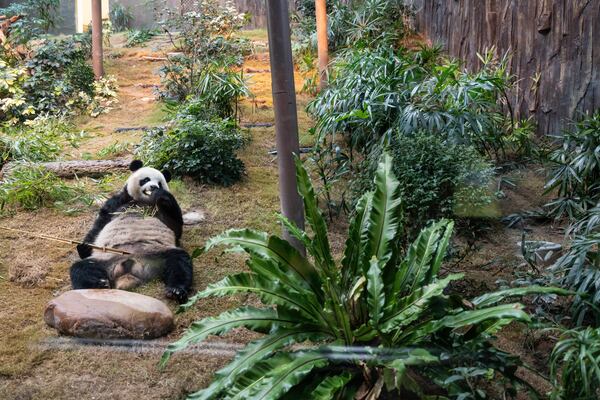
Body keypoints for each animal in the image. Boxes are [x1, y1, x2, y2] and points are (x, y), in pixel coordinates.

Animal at [70, 159, 193, 304]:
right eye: (146, 179)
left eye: (159, 184)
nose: (153, 187)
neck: (142, 201)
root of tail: (130, 266)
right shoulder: (119, 201)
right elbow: (101, 222)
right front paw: (83, 247)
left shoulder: (162, 210)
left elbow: (176, 226)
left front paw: (162, 196)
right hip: (105, 258)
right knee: (82, 269)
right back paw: (99, 284)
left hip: (158, 254)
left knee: (179, 262)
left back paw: (176, 291)